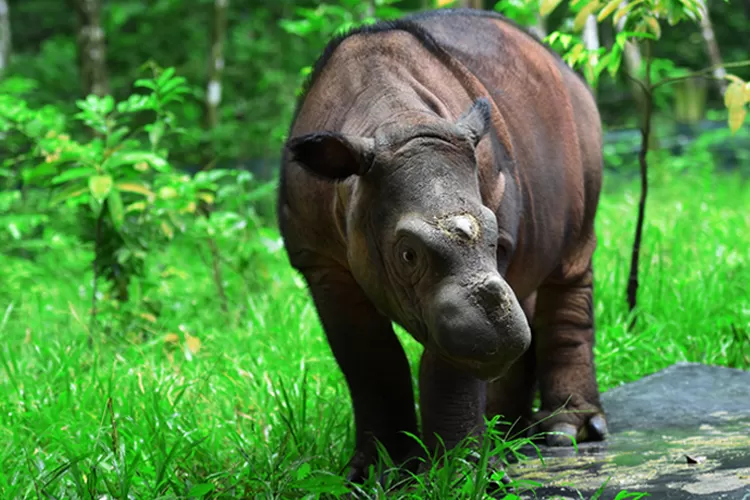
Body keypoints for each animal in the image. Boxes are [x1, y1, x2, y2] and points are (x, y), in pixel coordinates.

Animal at [280, 7, 608, 482]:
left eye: (494, 236)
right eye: (406, 254)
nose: (503, 336)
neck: (395, 120)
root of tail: (560, 63)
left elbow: (452, 358)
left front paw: (463, 472)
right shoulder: (318, 261)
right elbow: (368, 358)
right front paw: (375, 474)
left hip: (582, 124)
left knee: (571, 261)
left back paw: (565, 433)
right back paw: (511, 434)